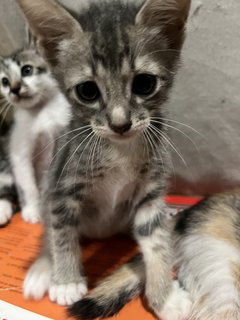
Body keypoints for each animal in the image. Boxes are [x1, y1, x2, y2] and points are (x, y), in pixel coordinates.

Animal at [0, 32, 71, 222]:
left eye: (27, 70)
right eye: (4, 81)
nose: (14, 89)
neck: (41, 111)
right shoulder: (19, 151)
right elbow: (27, 186)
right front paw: (32, 210)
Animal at [17, 1, 191, 318]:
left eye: (144, 84)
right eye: (88, 91)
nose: (120, 124)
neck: (120, 149)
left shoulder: (151, 194)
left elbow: (156, 242)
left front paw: (165, 297)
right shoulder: (61, 186)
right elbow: (61, 232)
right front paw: (67, 281)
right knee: (50, 227)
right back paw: (43, 268)